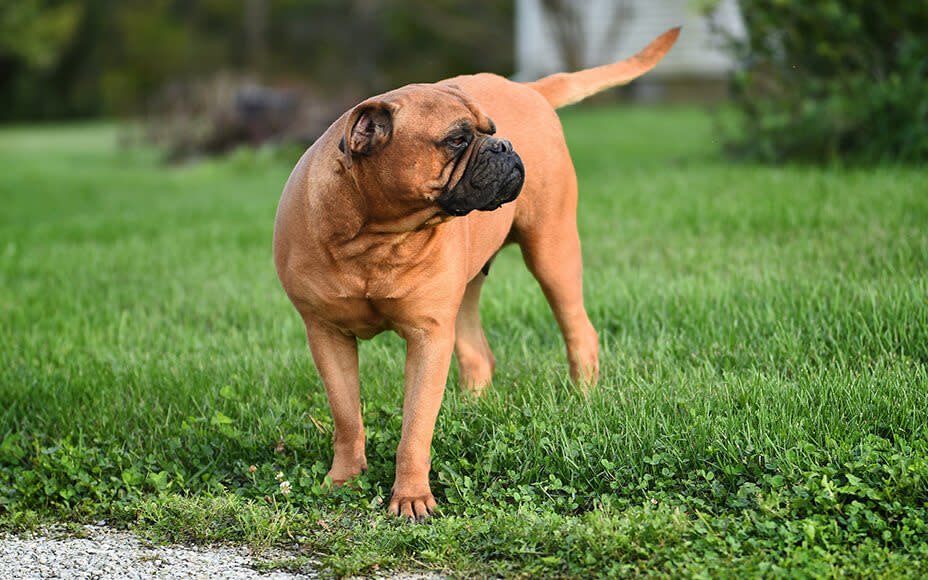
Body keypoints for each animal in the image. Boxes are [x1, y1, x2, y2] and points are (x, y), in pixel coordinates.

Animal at [272, 27, 676, 520]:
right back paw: (471, 410)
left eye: (491, 133)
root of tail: (529, 89)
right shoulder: (327, 334)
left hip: (553, 251)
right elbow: (347, 416)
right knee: (477, 354)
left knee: (579, 330)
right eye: (457, 140)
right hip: (466, 291)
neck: (374, 235)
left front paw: (411, 496)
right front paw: (344, 480)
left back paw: (583, 398)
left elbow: (415, 427)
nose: (505, 146)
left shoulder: (428, 336)